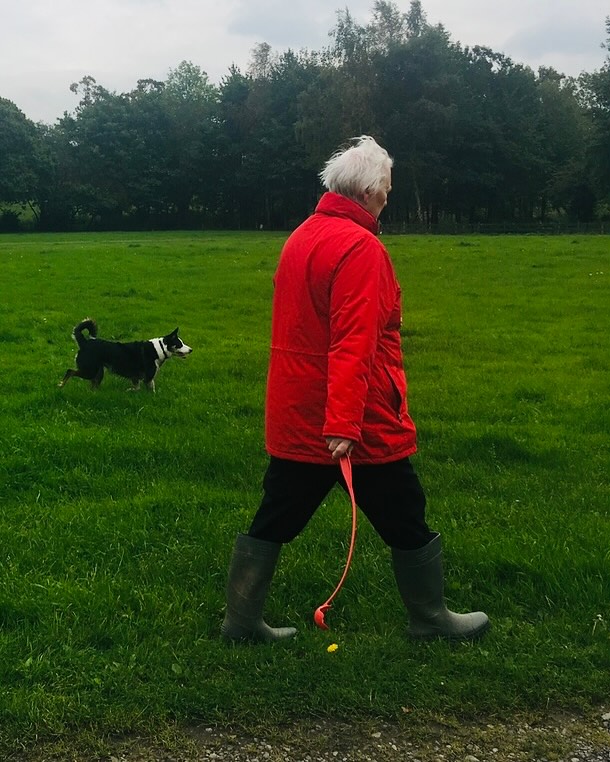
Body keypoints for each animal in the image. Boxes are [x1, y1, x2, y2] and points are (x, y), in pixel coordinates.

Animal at [58, 318, 192, 392]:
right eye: (179, 344)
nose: (191, 350)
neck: (160, 348)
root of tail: (85, 342)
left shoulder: (136, 377)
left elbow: (136, 388)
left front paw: (130, 391)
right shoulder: (148, 377)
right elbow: (150, 389)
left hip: (98, 372)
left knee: (92, 385)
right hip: (89, 370)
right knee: (70, 371)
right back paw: (61, 385)